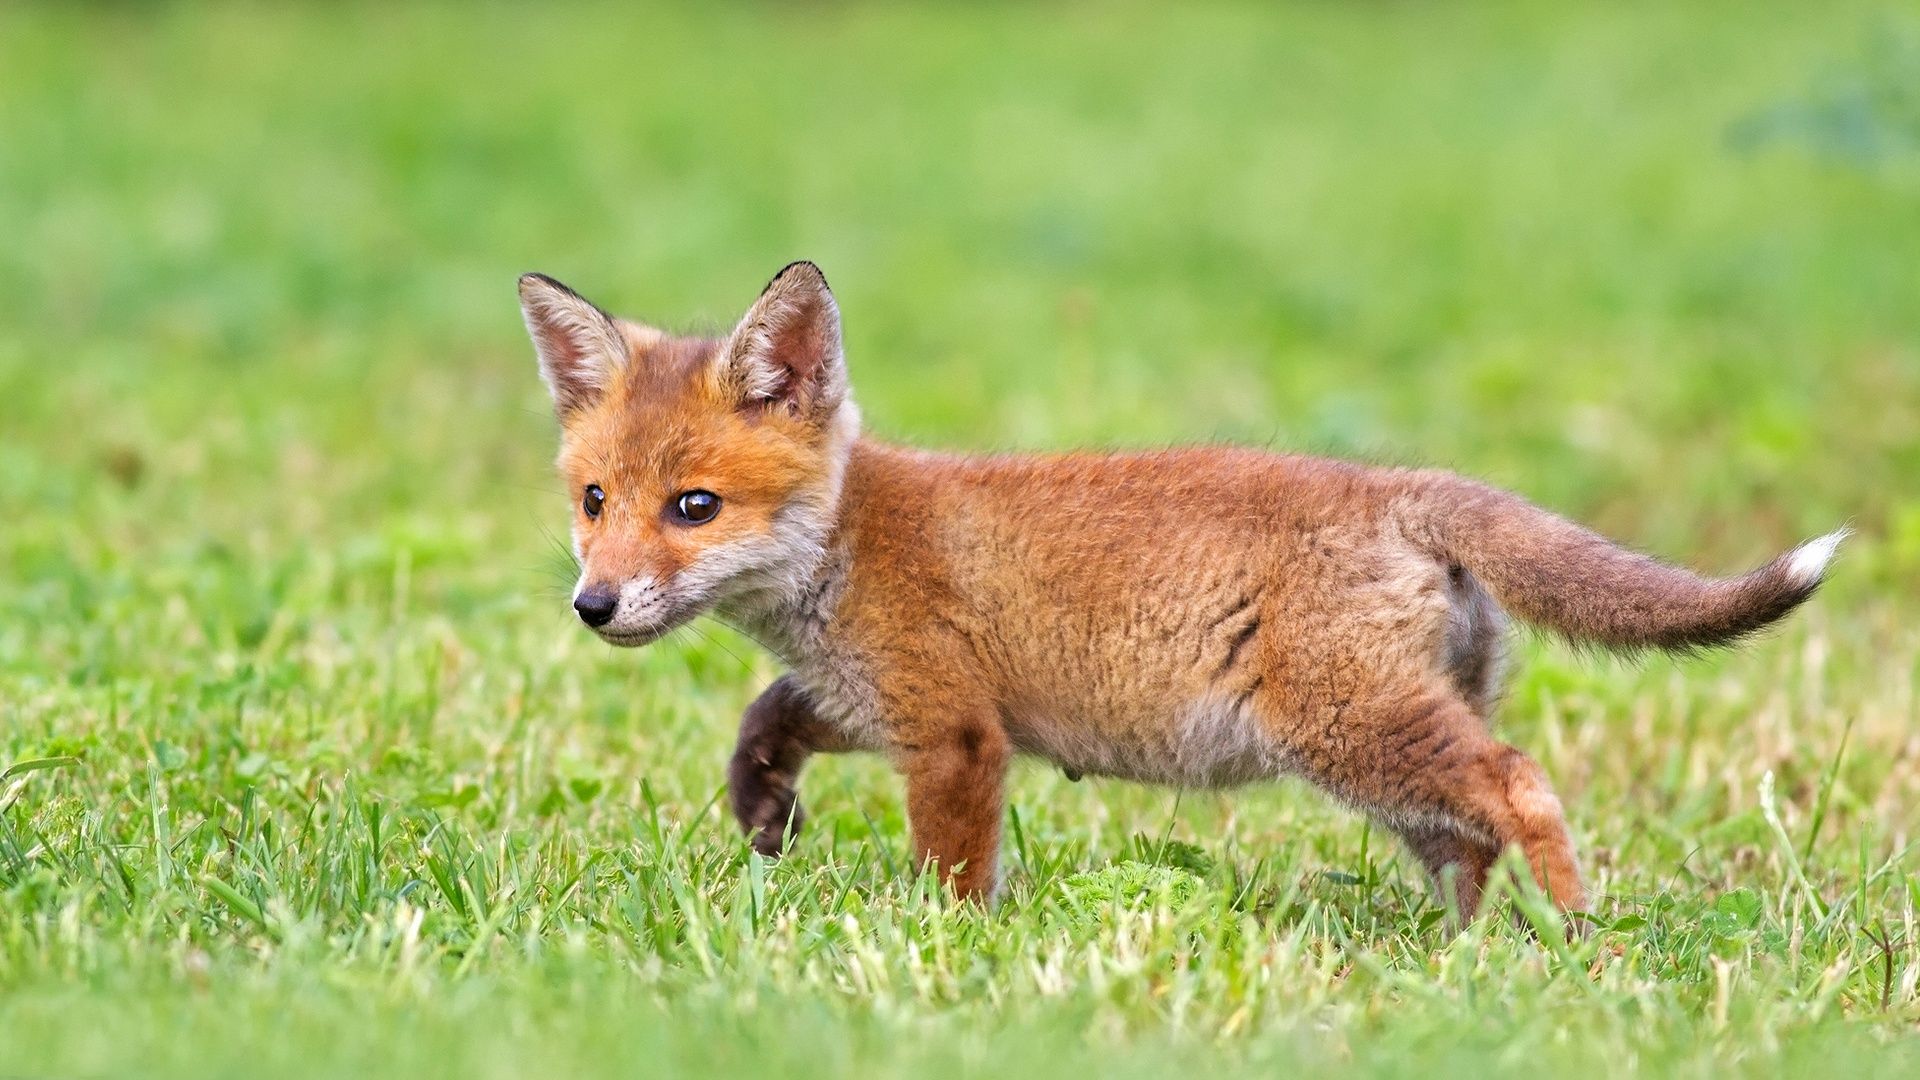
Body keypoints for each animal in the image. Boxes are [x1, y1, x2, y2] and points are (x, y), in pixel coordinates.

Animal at [519, 261, 1845, 919]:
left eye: (694, 508)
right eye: (594, 501)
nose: (595, 606)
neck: (850, 540)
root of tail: (1401, 485)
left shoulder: (953, 734)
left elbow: (953, 876)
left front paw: (947, 959)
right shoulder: (876, 700)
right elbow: (768, 719)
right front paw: (764, 813)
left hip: (1352, 730)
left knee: (1519, 786)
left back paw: (1574, 938)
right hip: (1387, 755)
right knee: (1468, 840)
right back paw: (1458, 965)